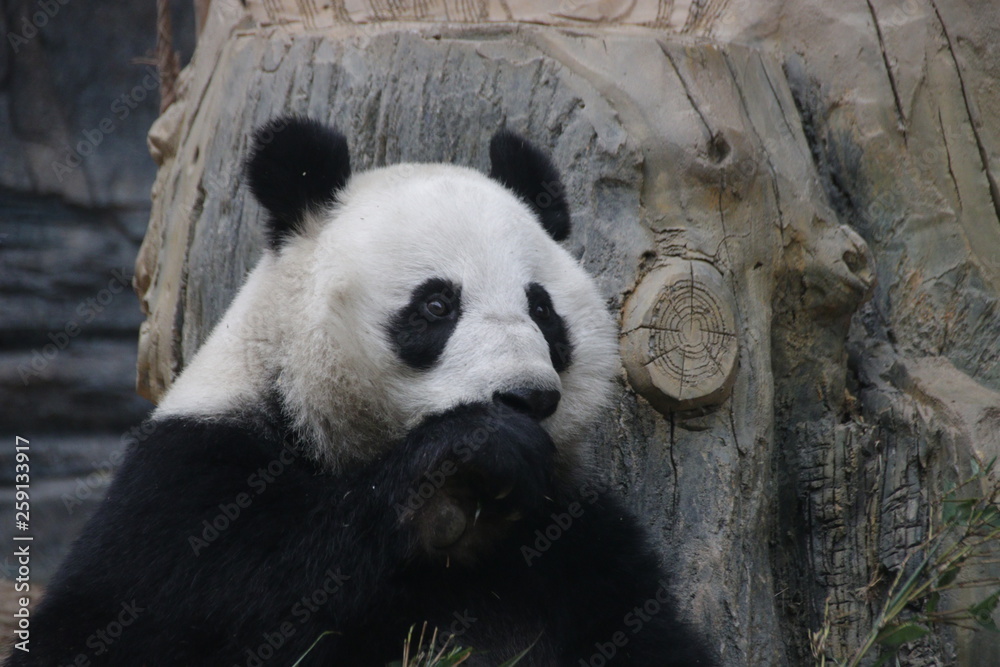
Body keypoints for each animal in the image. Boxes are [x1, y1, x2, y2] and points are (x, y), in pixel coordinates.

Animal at [7, 117, 715, 666]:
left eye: (542, 310)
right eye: (436, 304)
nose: (527, 400)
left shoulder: (580, 541)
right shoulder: (186, 480)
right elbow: (149, 616)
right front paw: (464, 461)